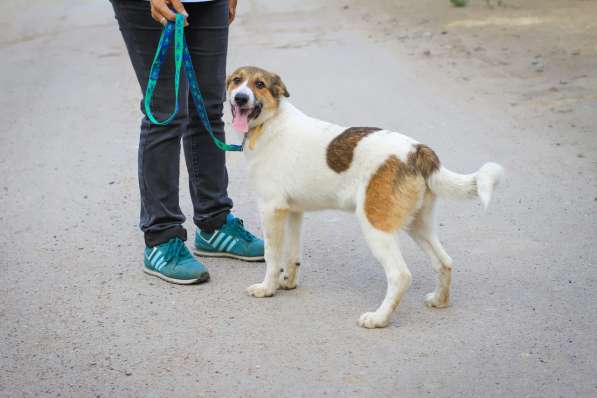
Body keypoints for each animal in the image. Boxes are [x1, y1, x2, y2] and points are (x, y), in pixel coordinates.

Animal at [226, 65, 500, 328]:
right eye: (237, 80)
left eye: (259, 84)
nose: (240, 98)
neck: (270, 122)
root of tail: (416, 150)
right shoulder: (293, 211)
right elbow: (292, 255)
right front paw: (287, 283)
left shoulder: (270, 209)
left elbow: (272, 256)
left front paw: (267, 288)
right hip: (418, 224)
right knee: (444, 262)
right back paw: (439, 301)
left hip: (375, 225)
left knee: (400, 275)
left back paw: (378, 319)